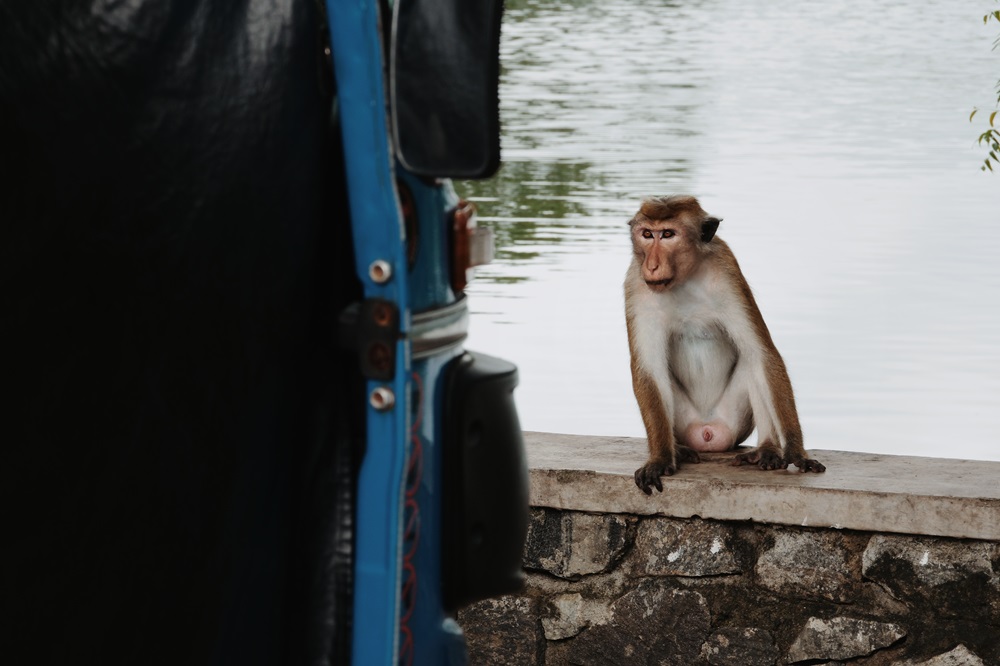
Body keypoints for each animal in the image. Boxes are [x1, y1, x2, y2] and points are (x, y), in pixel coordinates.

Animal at [624, 195, 825, 495]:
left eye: (668, 234)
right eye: (647, 234)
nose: (652, 265)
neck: (685, 277)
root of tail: (708, 432)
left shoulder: (727, 269)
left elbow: (761, 352)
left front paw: (796, 452)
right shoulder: (636, 284)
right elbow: (649, 368)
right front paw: (659, 458)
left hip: (734, 420)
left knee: (751, 361)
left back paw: (766, 449)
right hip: (685, 422)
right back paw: (678, 449)